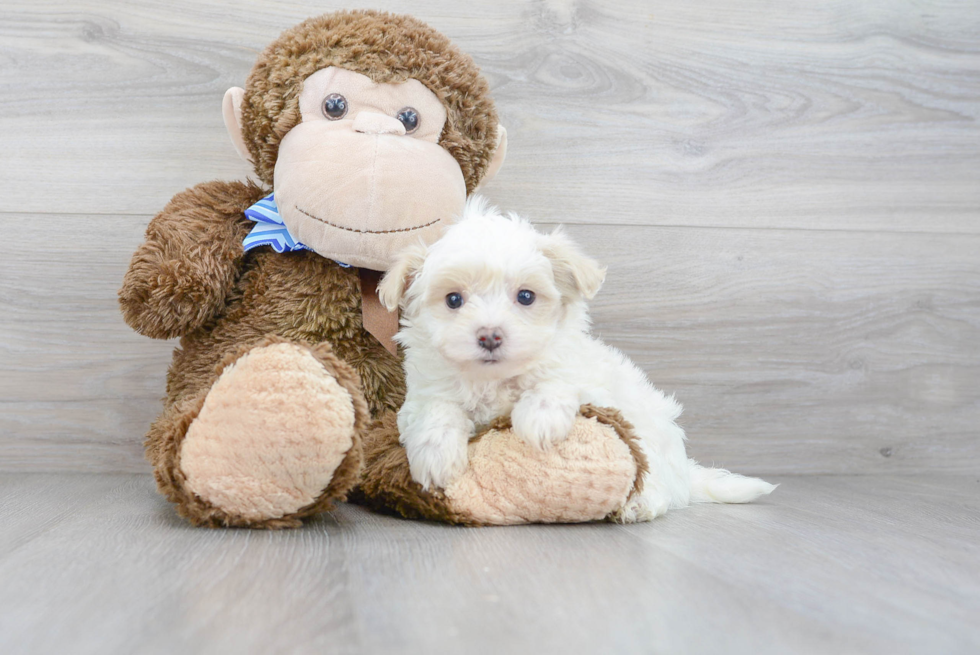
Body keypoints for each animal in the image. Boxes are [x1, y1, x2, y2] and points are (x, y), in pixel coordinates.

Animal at [378, 197, 776, 524]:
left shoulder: (580, 372)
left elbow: (556, 379)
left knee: (656, 485)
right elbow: (436, 410)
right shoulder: (425, 391)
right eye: (453, 300)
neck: (495, 381)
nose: (490, 336)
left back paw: (639, 504)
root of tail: (685, 472)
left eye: (525, 296)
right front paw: (437, 458)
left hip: (651, 443)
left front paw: (539, 420)